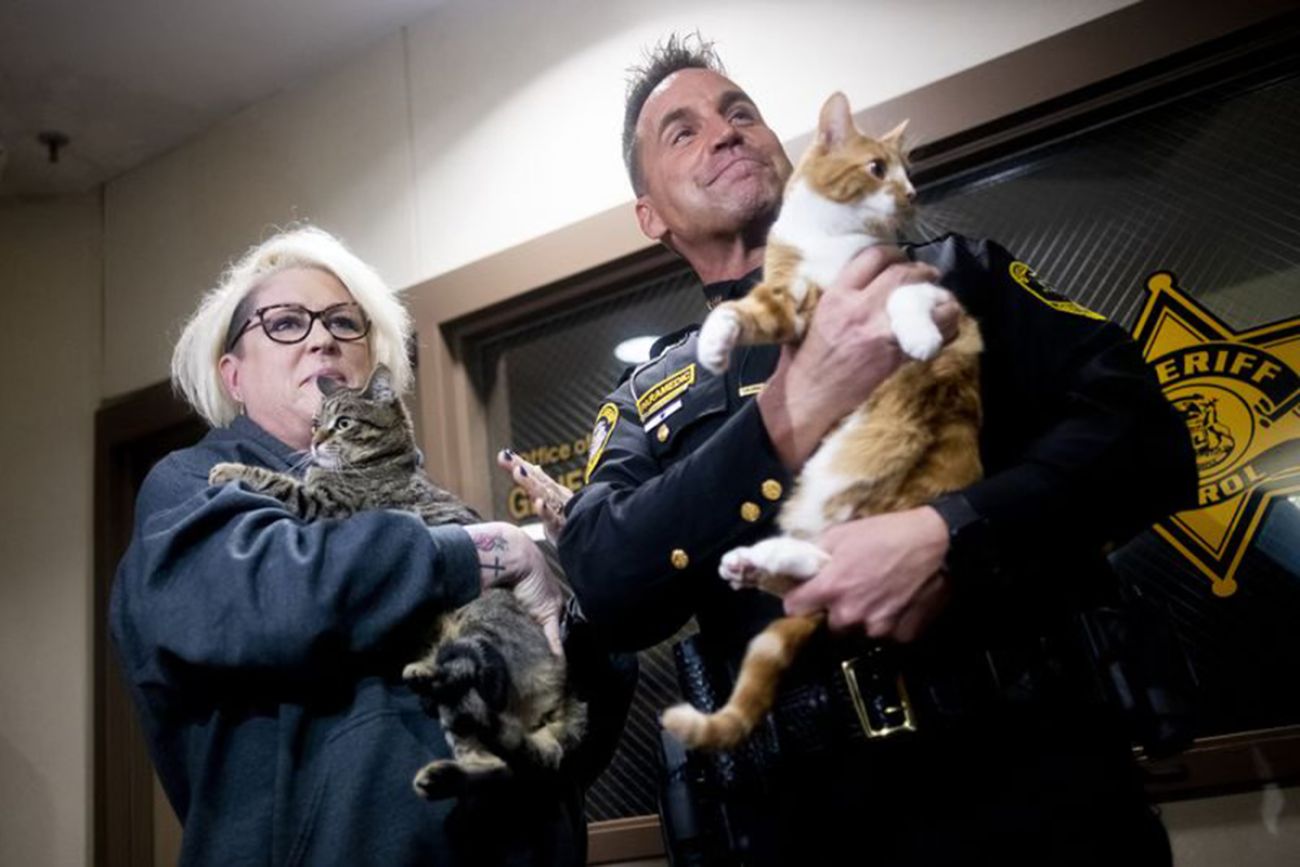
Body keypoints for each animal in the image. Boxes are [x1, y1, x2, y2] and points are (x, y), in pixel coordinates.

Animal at [208, 366, 585, 800]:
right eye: (316, 423)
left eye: (344, 423)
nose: (316, 441)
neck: (386, 461)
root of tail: (564, 691)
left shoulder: (323, 505)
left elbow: (276, 481)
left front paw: (228, 470)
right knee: (491, 760)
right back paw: (438, 765)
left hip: (479, 632)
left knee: (479, 684)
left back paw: (433, 673)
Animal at [660, 91, 982, 748]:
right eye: (878, 169)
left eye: (910, 173)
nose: (910, 194)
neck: (833, 236)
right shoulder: (788, 301)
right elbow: (737, 310)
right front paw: (714, 344)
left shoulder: (925, 290)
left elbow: (905, 298)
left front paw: (915, 338)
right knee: (815, 572)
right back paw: (753, 562)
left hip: (888, 496)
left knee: (835, 567)